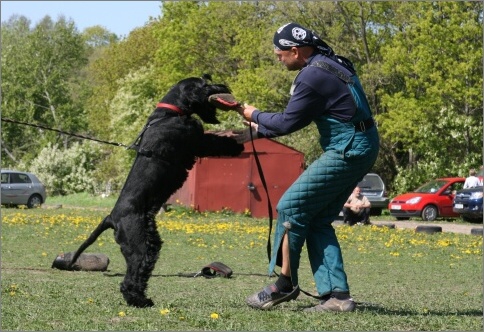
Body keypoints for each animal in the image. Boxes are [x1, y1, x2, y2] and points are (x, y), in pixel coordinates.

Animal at [66, 76, 244, 308]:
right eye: (204, 84)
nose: (223, 87)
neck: (170, 113)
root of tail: (111, 217)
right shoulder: (197, 141)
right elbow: (216, 142)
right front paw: (236, 143)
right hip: (138, 246)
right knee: (131, 277)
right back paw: (139, 300)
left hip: (149, 243)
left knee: (140, 272)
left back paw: (141, 298)